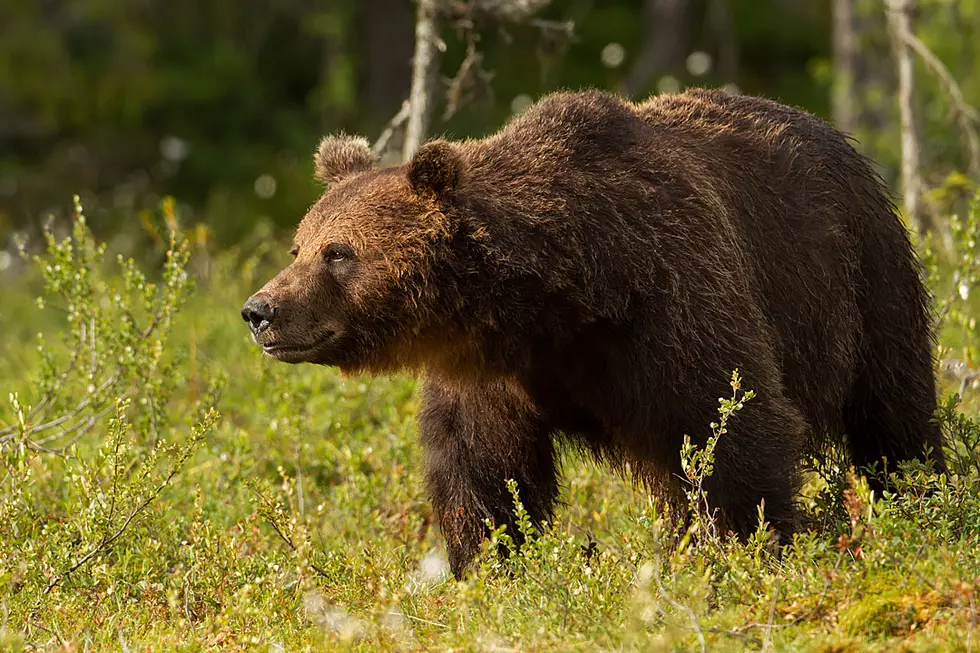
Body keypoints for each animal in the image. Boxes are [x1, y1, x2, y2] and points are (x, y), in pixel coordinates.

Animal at [242, 87, 947, 579]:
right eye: (299, 245)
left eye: (338, 252)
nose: (260, 310)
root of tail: (831, 130)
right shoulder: (493, 373)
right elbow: (481, 469)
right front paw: (487, 566)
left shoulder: (669, 307)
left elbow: (731, 425)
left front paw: (742, 550)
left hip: (860, 276)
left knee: (892, 405)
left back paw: (920, 499)